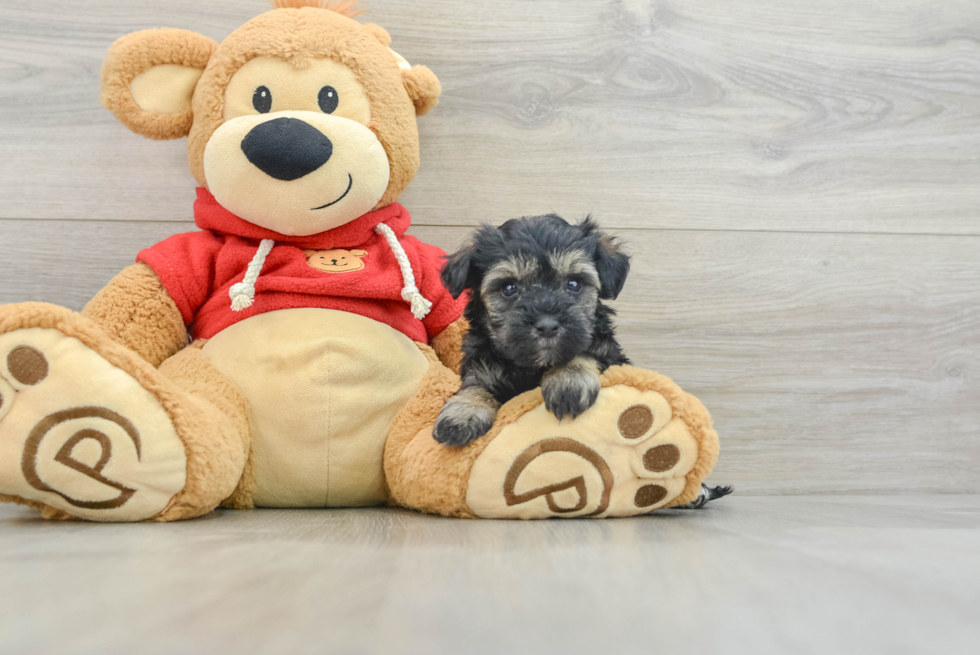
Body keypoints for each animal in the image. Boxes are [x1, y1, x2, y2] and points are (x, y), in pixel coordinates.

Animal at [432, 214, 632, 446]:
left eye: (574, 284)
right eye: (509, 288)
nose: (547, 325)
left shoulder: (609, 354)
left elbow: (582, 352)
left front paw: (568, 380)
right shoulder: (480, 365)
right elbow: (475, 384)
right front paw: (465, 410)